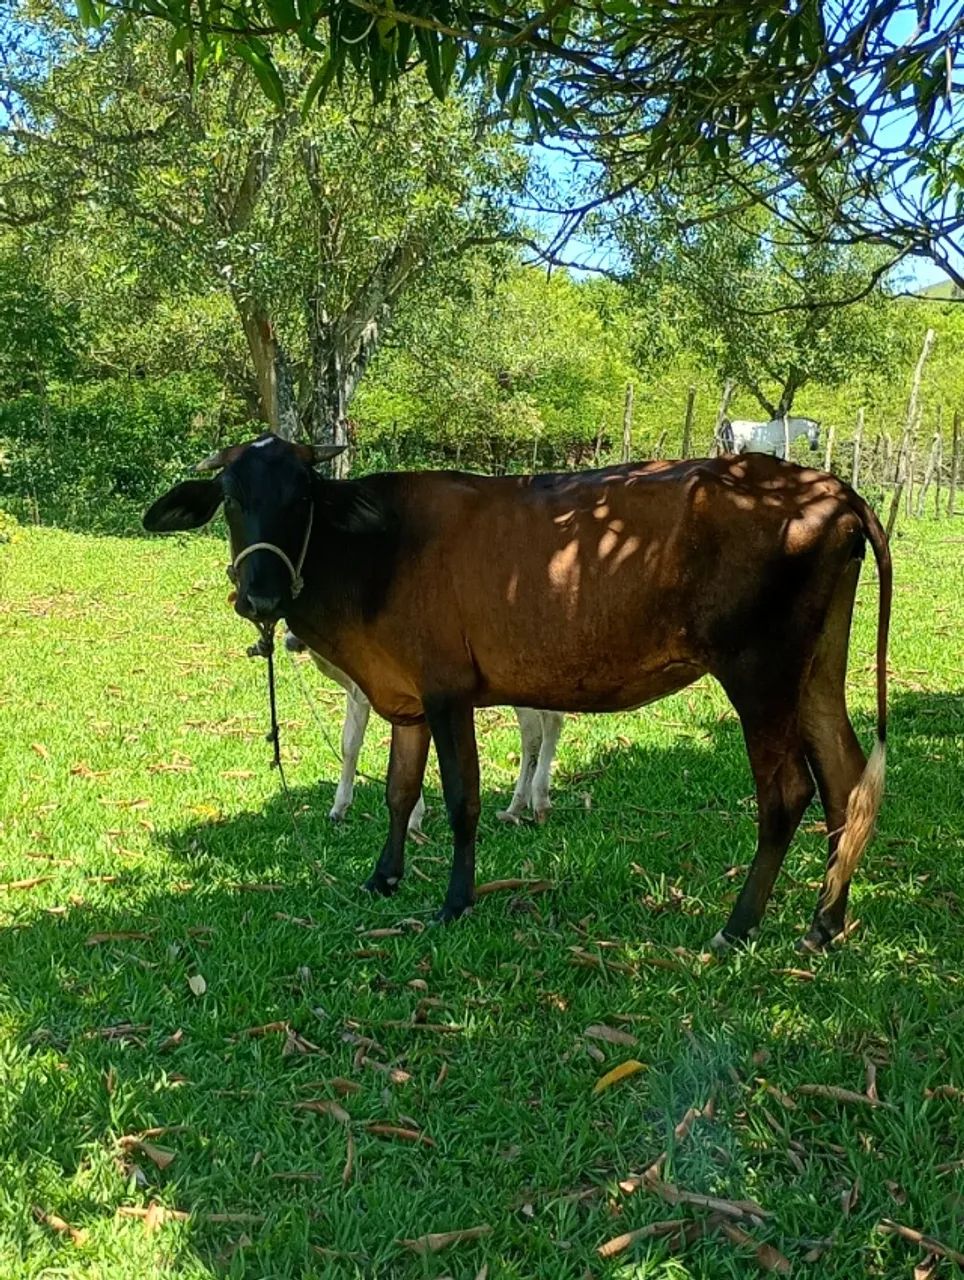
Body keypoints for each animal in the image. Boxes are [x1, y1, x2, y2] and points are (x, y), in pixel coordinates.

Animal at [283, 628, 565, 828]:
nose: (291, 641)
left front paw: (414, 819)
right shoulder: (358, 693)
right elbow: (349, 744)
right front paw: (338, 809)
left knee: (550, 721)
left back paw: (539, 801)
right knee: (533, 731)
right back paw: (517, 807)